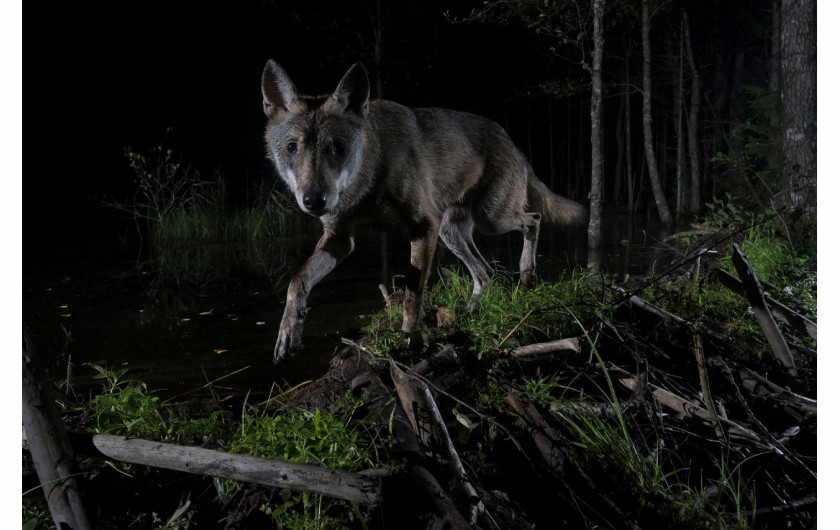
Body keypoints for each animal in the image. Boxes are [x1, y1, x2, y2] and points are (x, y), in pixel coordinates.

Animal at [262, 59, 584, 360]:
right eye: (292, 147)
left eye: (338, 147)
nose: (314, 201)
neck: (369, 180)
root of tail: (512, 142)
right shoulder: (340, 237)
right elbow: (297, 282)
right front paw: (288, 332)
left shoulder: (423, 225)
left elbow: (412, 294)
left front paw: (408, 340)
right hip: (452, 232)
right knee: (485, 272)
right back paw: (471, 311)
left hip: (491, 219)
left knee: (534, 219)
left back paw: (527, 272)